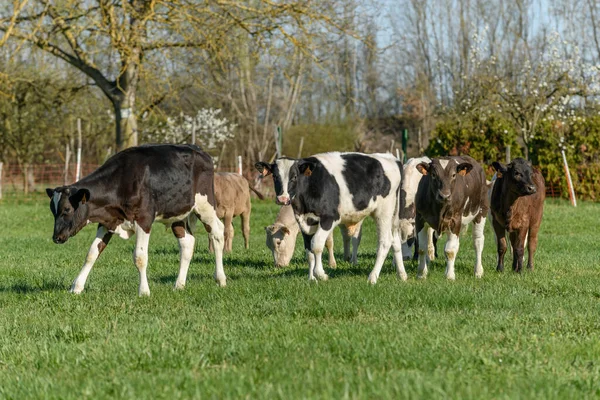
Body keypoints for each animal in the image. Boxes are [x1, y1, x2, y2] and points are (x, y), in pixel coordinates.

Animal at [45, 145, 226, 296]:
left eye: (67, 209)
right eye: (53, 210)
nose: (56, 237)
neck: (121, 181)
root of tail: (200, 150)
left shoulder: (144, 219)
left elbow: (140, 257)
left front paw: (144, 291)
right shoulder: (108, 221)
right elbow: (92, 253)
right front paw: (76, 287)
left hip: (205, 205)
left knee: (217, 233)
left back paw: (220, 279)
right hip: (177, 213)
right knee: (187, 243)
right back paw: (179, 284)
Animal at [255, 151, 406, 284]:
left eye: (294, 177)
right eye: (275, 176)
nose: (282, 198)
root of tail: (392, 159)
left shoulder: (329, 218)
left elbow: (316, 245)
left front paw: (321, 274)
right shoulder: (304, 222)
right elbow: (309, 252)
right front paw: (311, 278)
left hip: (383, 212)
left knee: (385, 242)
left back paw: (372, 277)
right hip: (393, 215)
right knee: (396, 241)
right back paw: (402, 274)